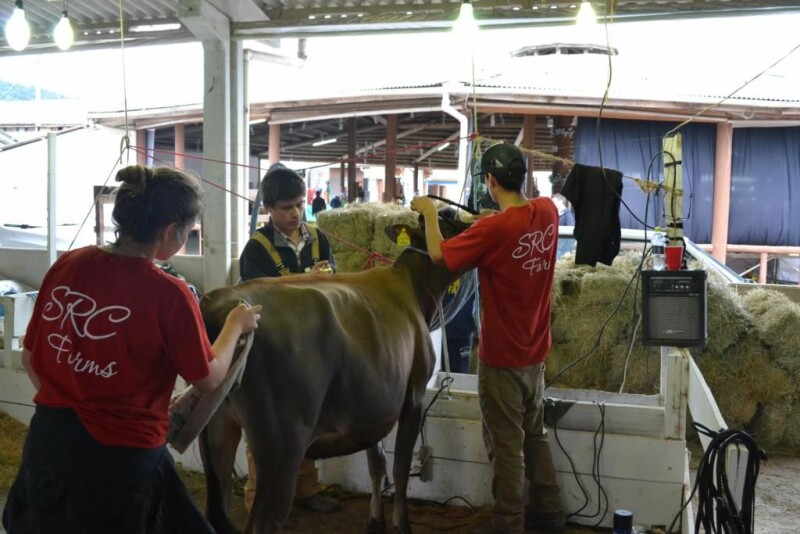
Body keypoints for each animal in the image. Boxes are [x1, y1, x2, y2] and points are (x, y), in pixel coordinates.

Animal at [198, 215, 468, 534]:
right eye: (452, 217)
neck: (412, 286)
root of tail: (221, 303)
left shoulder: (373, 407)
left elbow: (376, 464)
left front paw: (375, 520)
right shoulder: (413, 396)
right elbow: (400, 468)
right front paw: (402, 525)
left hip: (217, 429)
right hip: (281, 445)